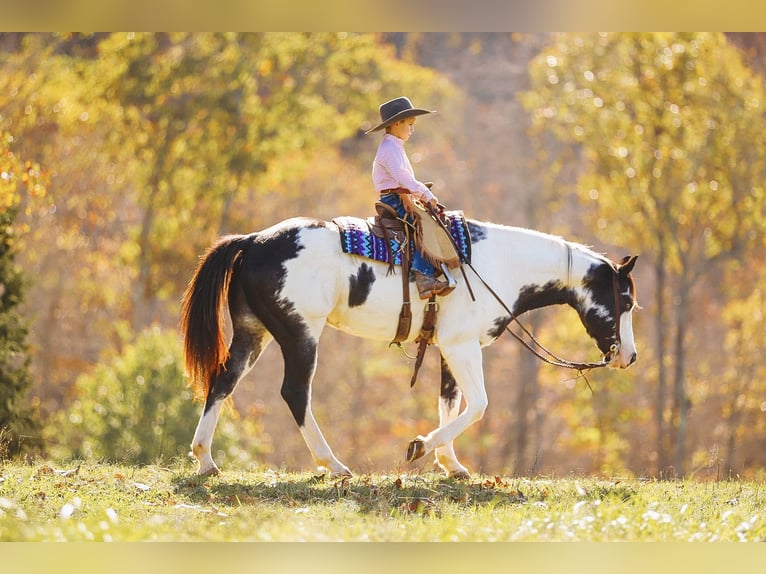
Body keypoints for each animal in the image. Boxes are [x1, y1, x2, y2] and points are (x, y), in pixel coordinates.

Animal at [183, 214, 640, 480]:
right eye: (627, 300)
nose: (629, 356)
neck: (498, 266)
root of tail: (253, 240)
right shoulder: (462, 347)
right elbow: (478, 406)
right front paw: (421, 447)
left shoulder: (449, 349)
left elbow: (450, 403)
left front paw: (451, 464)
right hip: (301, 335)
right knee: (295, 393)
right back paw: (333, 465)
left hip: (253, 333)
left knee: (223, 381)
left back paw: (205, 458)